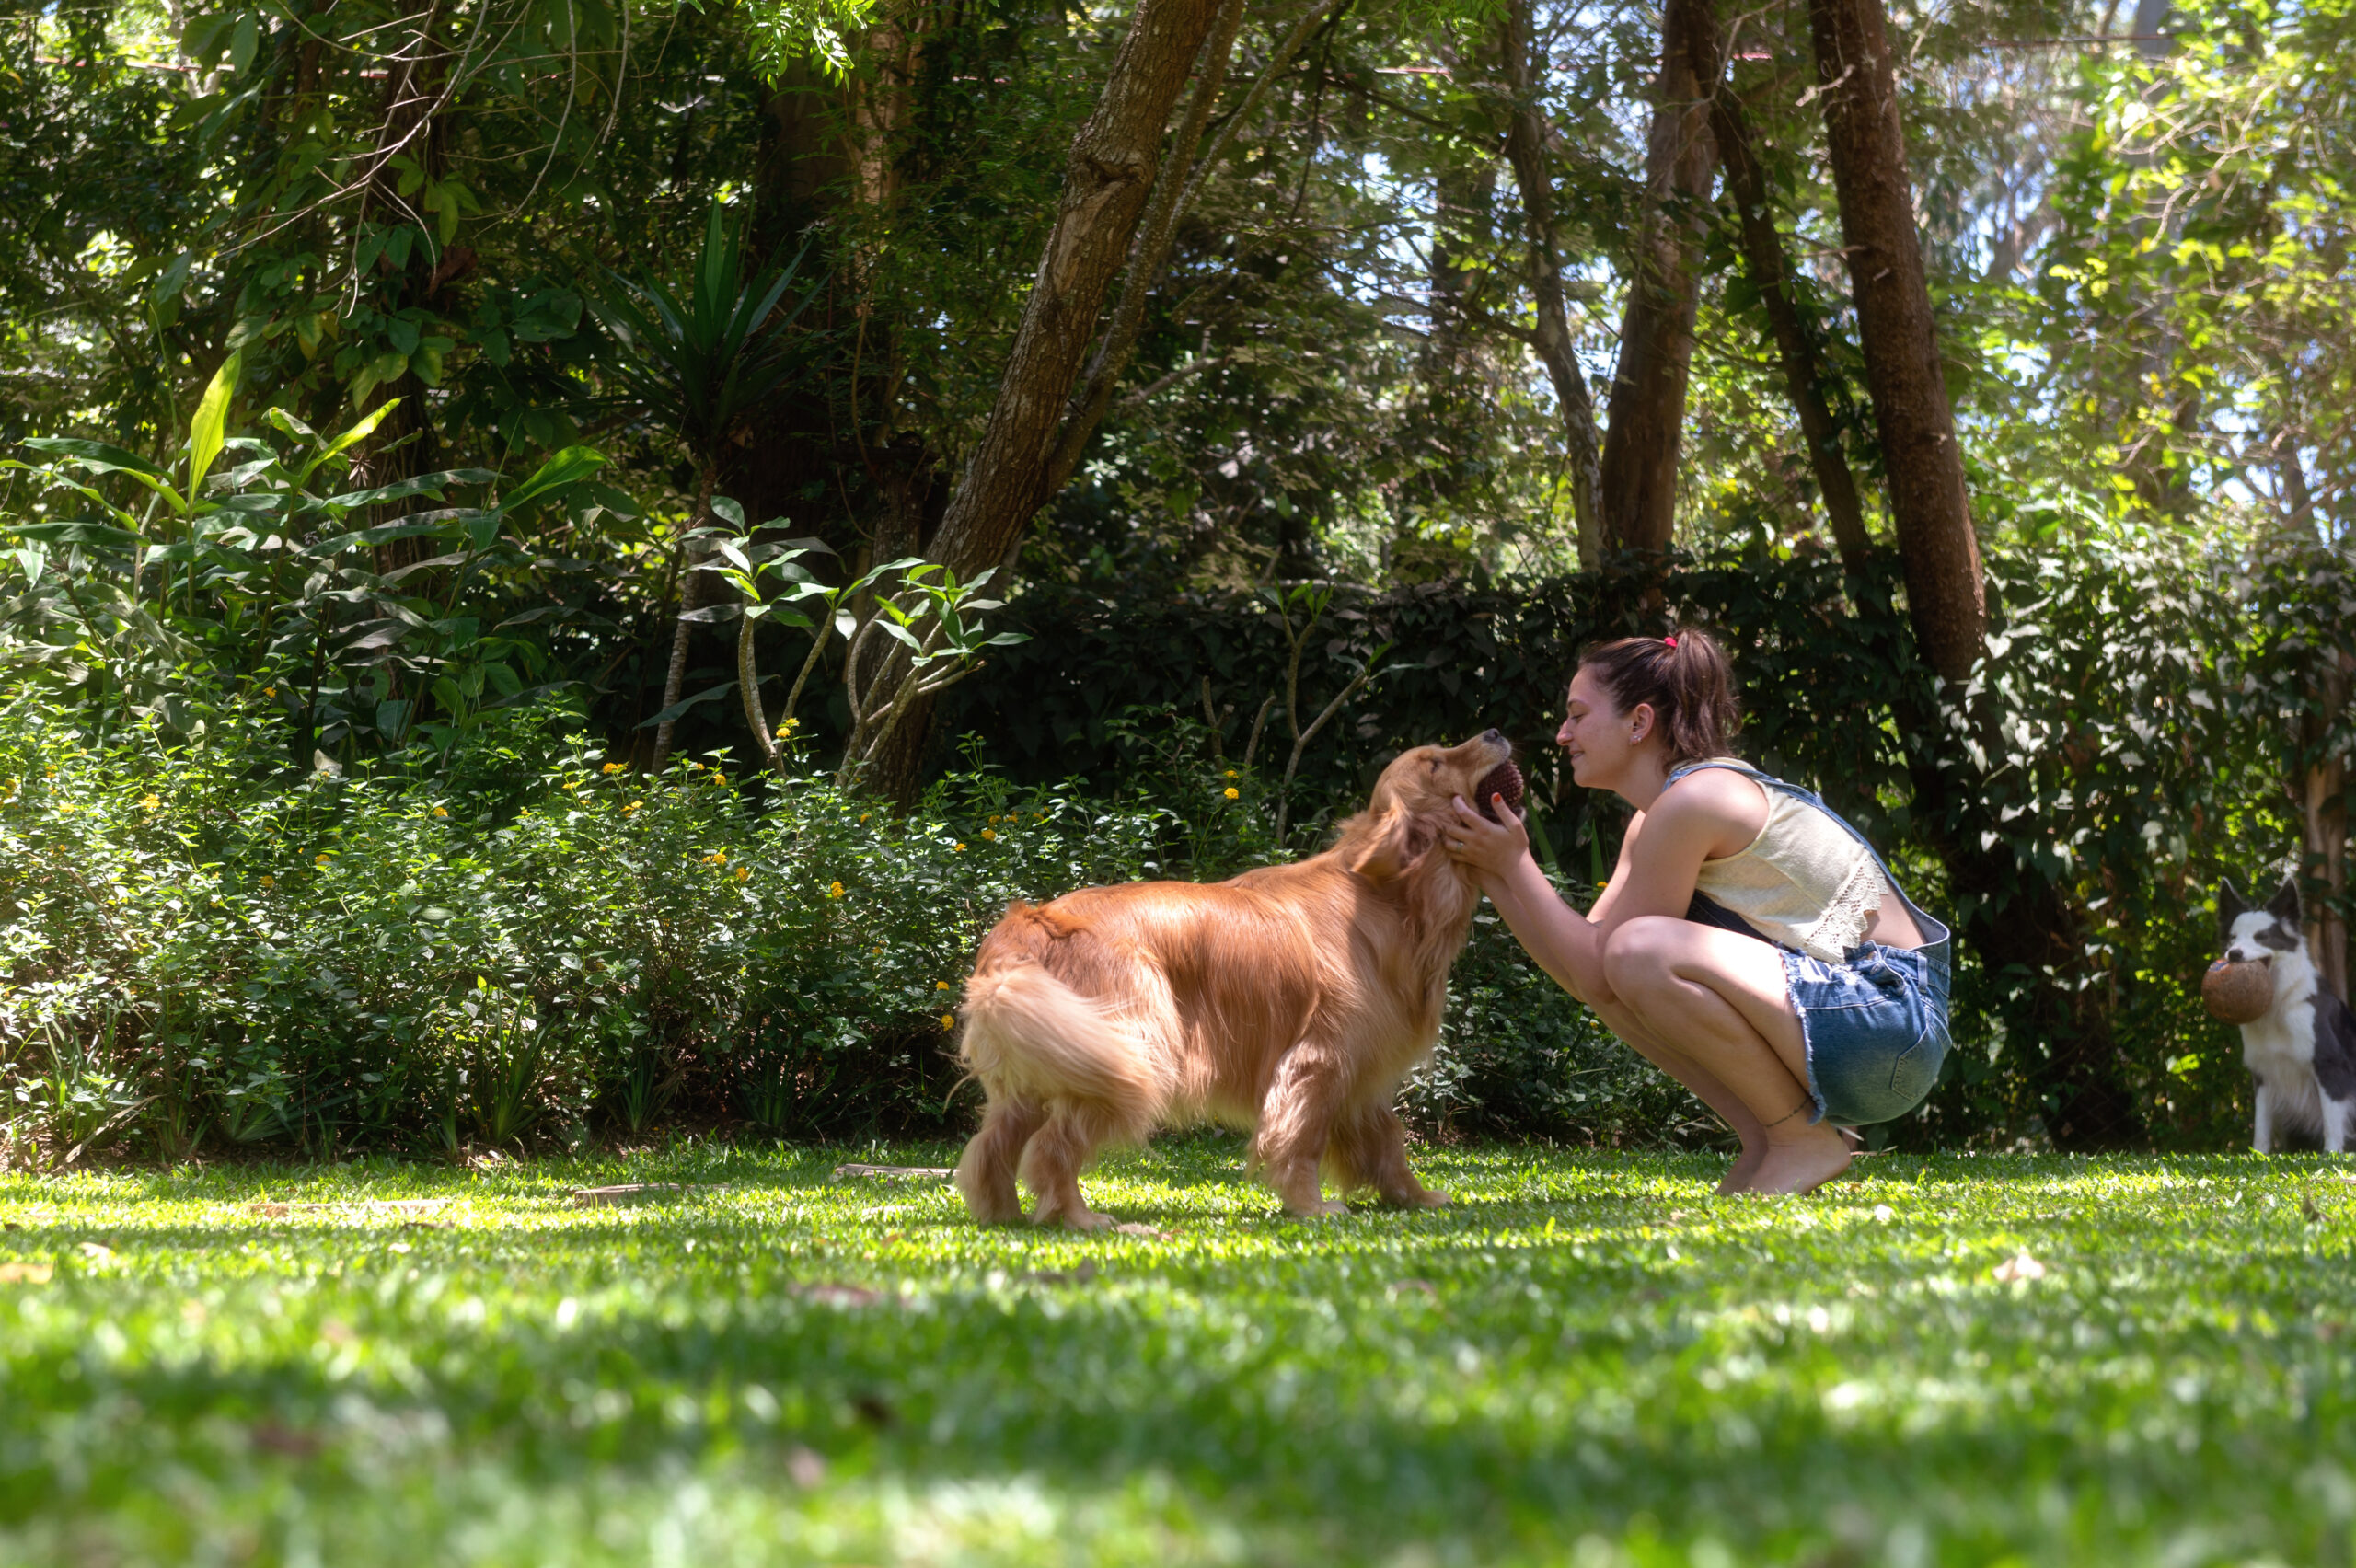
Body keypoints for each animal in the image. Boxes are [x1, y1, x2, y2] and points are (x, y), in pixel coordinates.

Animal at [947, 725, 1517, 1224]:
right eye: (1435, 763)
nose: (1494, 731)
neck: (1388, 895)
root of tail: (1031, 920)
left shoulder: (1364, 1067)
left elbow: (1387, 1141)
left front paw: (1412, 1197)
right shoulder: (1320, 1059)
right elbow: (1302, 1141)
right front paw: (1311, 1207)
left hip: (1051, 1063)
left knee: (992, 1146)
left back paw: (1004, 1214)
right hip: (1129, 1053)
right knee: (1052, 1146)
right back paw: (1078, 1218)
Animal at [2214, 880, 2346, 1148]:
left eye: (2262, 937)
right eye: (2232, 938)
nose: (2234, 954)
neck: (2278, 1005)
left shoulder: (2329, 1064)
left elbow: (2332, 1126)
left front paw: (2332, 1154)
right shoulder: (2263, 1072)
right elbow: (2261, 1128)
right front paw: (2258, 1154)